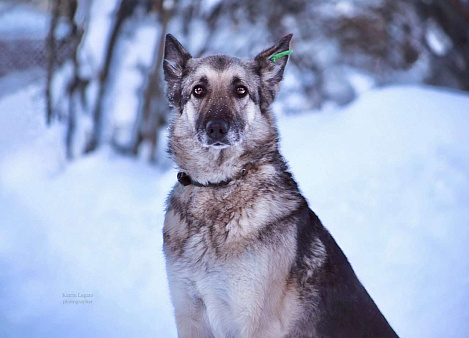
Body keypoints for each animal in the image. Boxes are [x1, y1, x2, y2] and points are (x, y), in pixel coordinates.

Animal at [163, 32, 396, 338]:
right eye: (198, 90)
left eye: (241, 90)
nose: (217, 128)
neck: (220, 186)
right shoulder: (189, 316)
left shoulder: (258, 323)